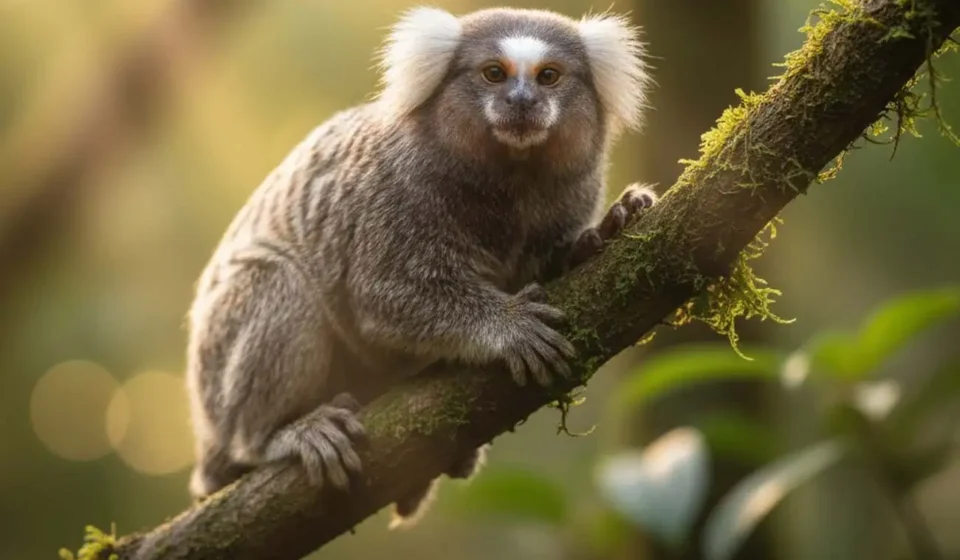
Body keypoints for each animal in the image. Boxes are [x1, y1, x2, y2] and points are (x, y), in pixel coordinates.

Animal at [184, 5, 657, 529]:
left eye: (548, 76)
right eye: (494, 73)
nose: (522, 101)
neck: (508, 179)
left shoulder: (570, 191)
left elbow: (553, 263)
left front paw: (606, 230)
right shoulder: (395, 194)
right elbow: (384, 297)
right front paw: (508, 326)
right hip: (218, 383)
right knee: (277, 282)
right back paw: (273, 436)